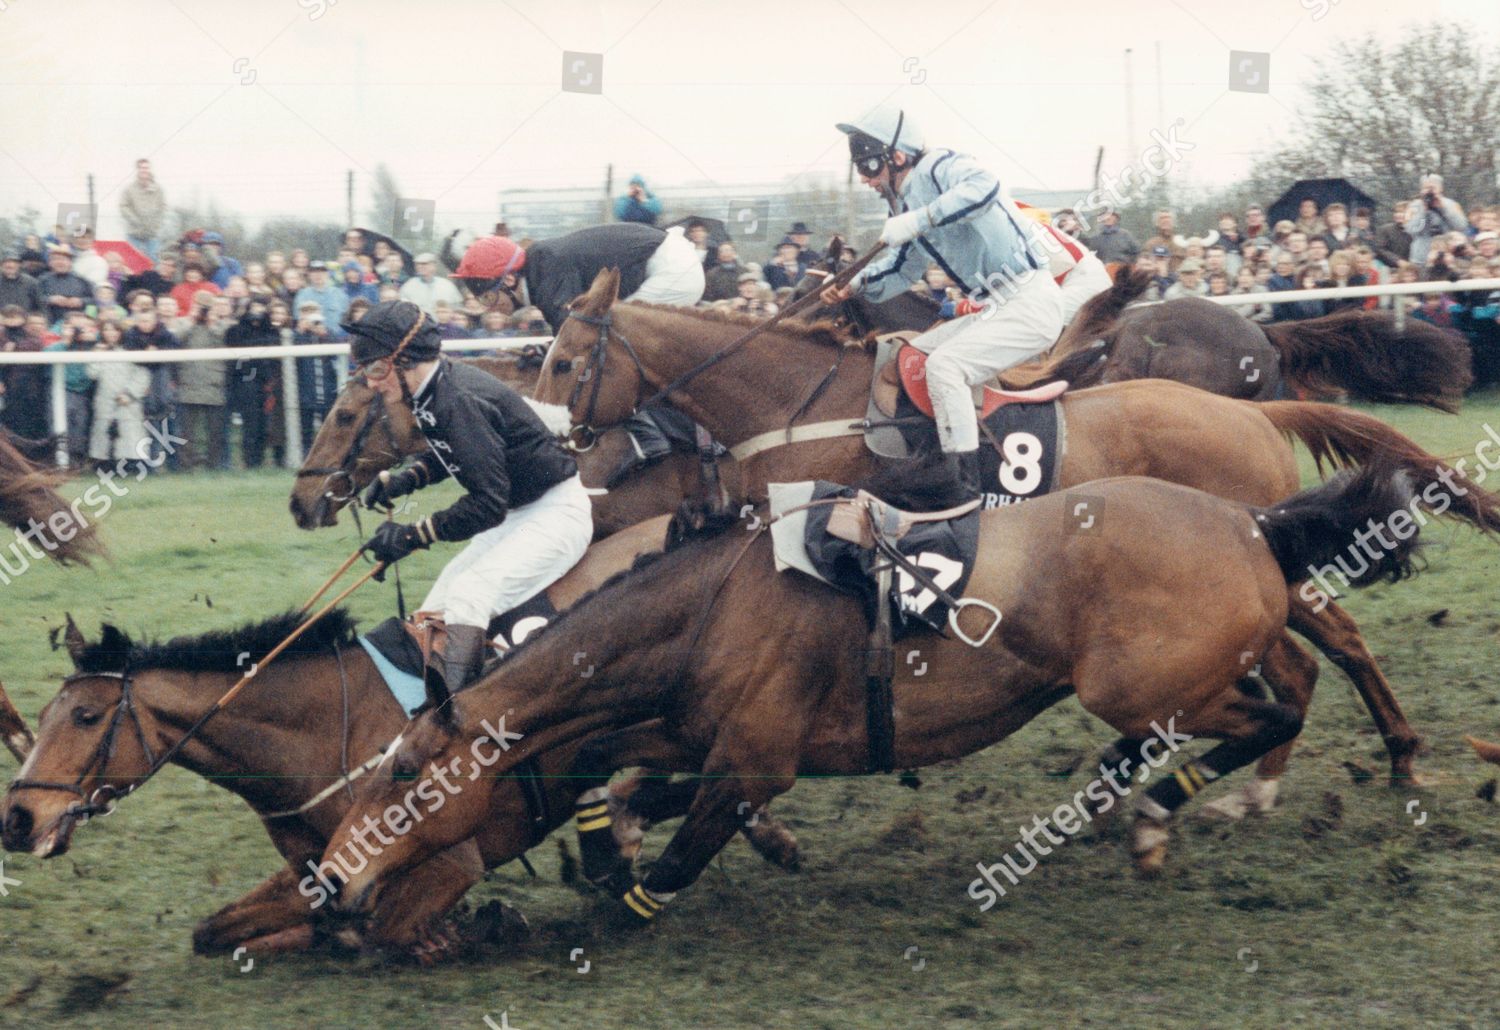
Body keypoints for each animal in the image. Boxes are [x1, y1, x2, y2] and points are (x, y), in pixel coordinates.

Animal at [319, 458, 1428, 929]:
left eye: (407, 773)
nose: (330, 880)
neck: (711, 607)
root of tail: (1251, 522)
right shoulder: (725, 747)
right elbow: (636, 785)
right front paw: (609, 837)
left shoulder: (754, 761)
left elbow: (659, 874)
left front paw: (603, 888)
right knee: (1259, 699)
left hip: (1147, 680)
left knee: (1273, 710)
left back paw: (1159, 809)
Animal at [531, 268, 1500, 815]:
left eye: (564, 359)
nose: (555, 448)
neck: (805, 407)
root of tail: (1256, 409)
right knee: (1316, 653)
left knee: (1329, 647)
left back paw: (1329, 769)